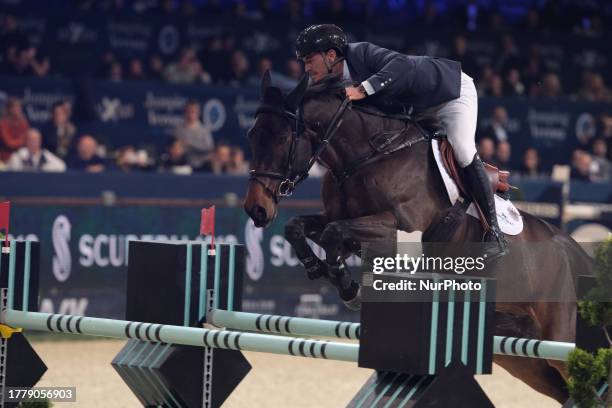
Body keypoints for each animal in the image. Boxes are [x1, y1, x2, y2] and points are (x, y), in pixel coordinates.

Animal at [243, 71, 592, 404]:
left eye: (282, 138)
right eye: (252, 136)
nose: (256, 209)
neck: (367, 157)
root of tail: (572, 251)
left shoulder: (400, 228)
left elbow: (333, 233)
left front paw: (347, 285)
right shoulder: (336, 216)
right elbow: (299, 227)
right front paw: (320, 268)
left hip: (558, 337)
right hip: (522, 358)